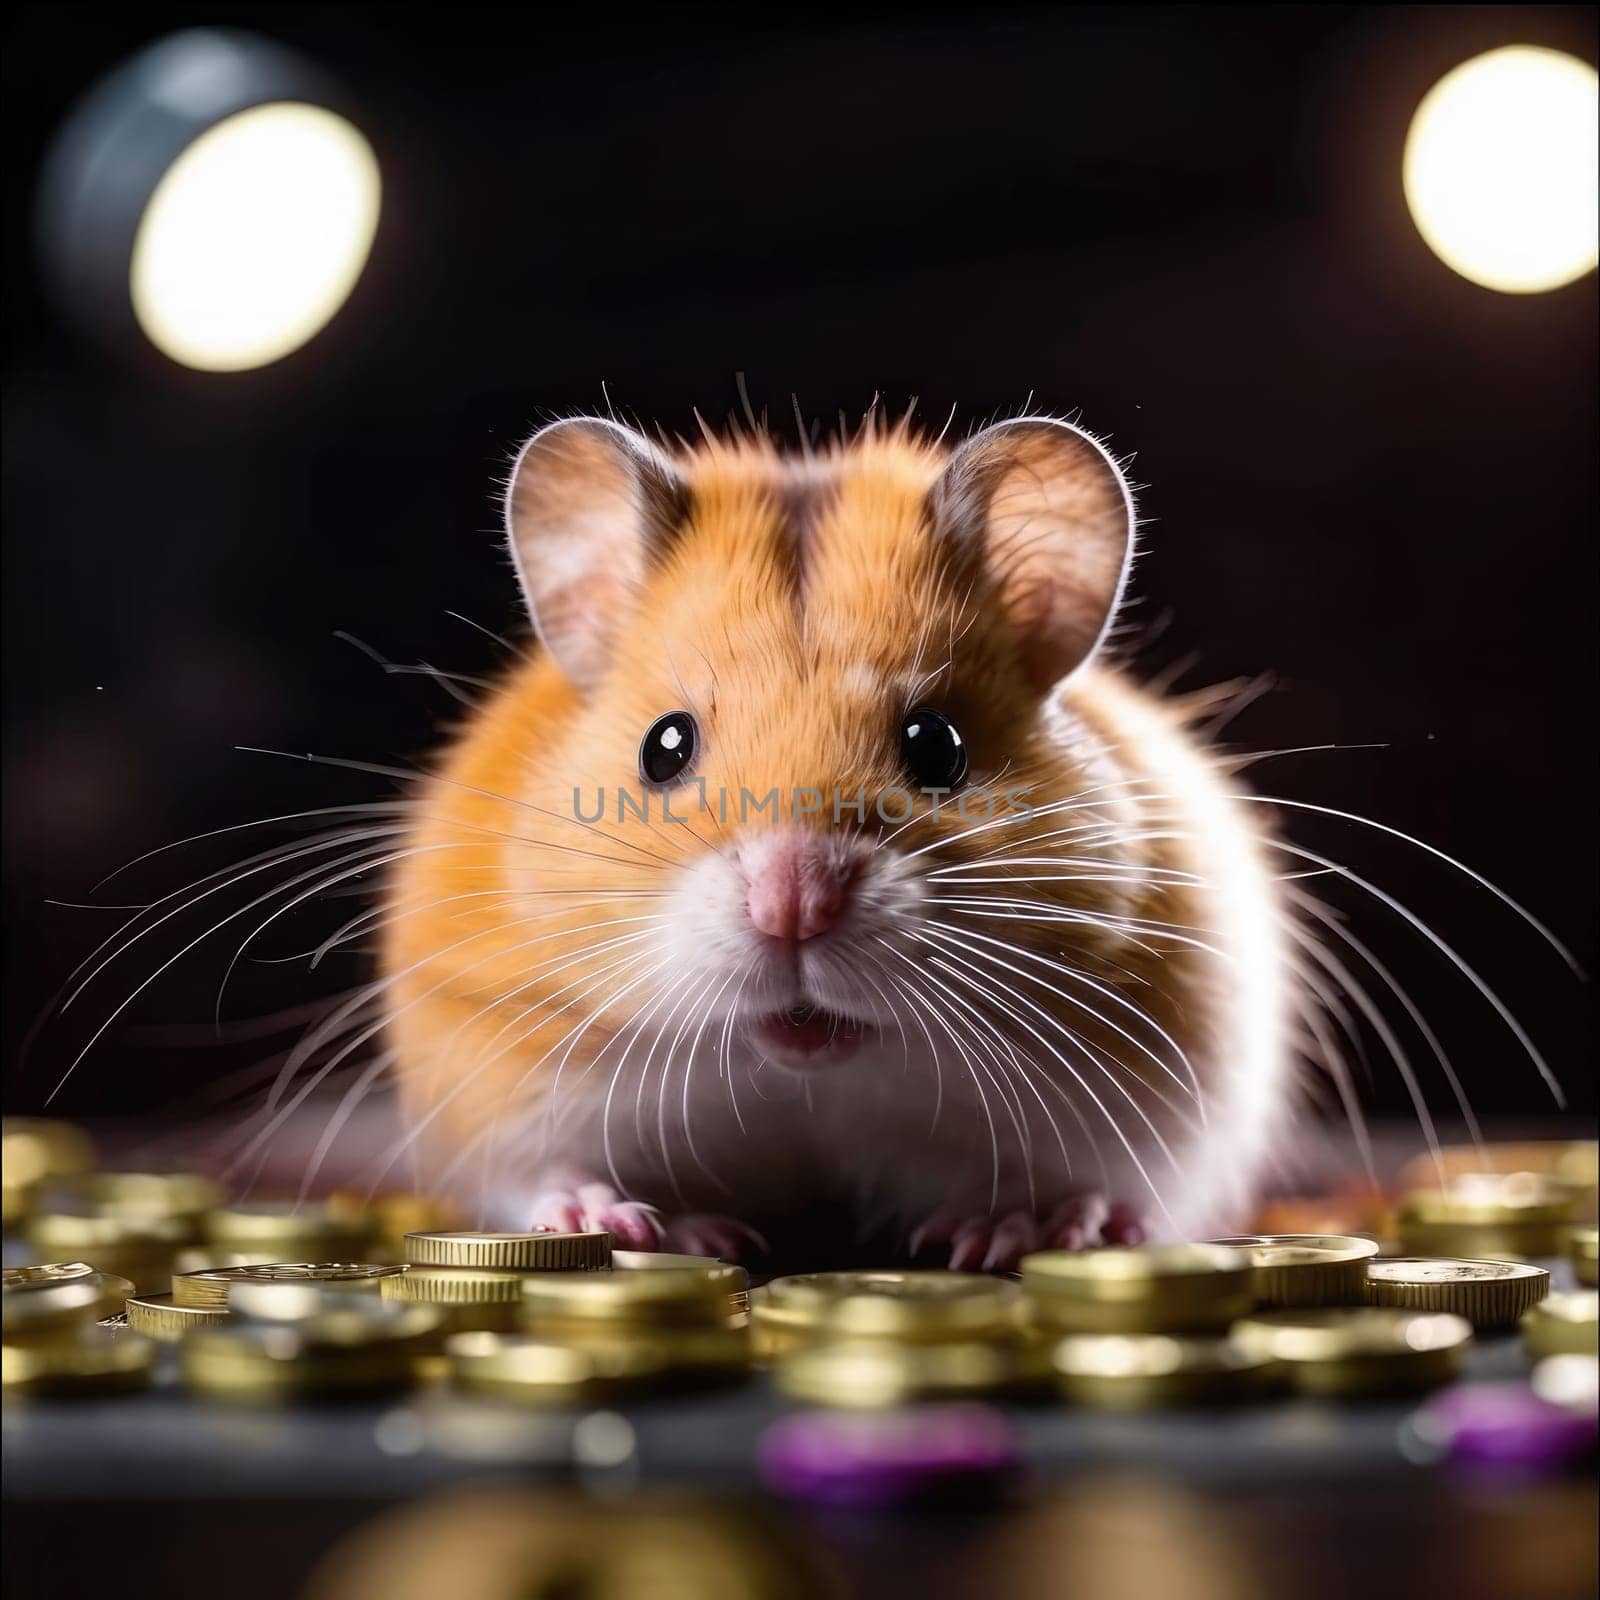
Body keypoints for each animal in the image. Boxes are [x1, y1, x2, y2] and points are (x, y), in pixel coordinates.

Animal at [380, 419, 1292, 1267]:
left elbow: (1093, 1182)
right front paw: (636, 1226)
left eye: (938, 746)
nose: (793, 905)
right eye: (662, 746)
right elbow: (542, 1171)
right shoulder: (489, 1060)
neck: (809, 1072)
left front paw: (1012, 1231)